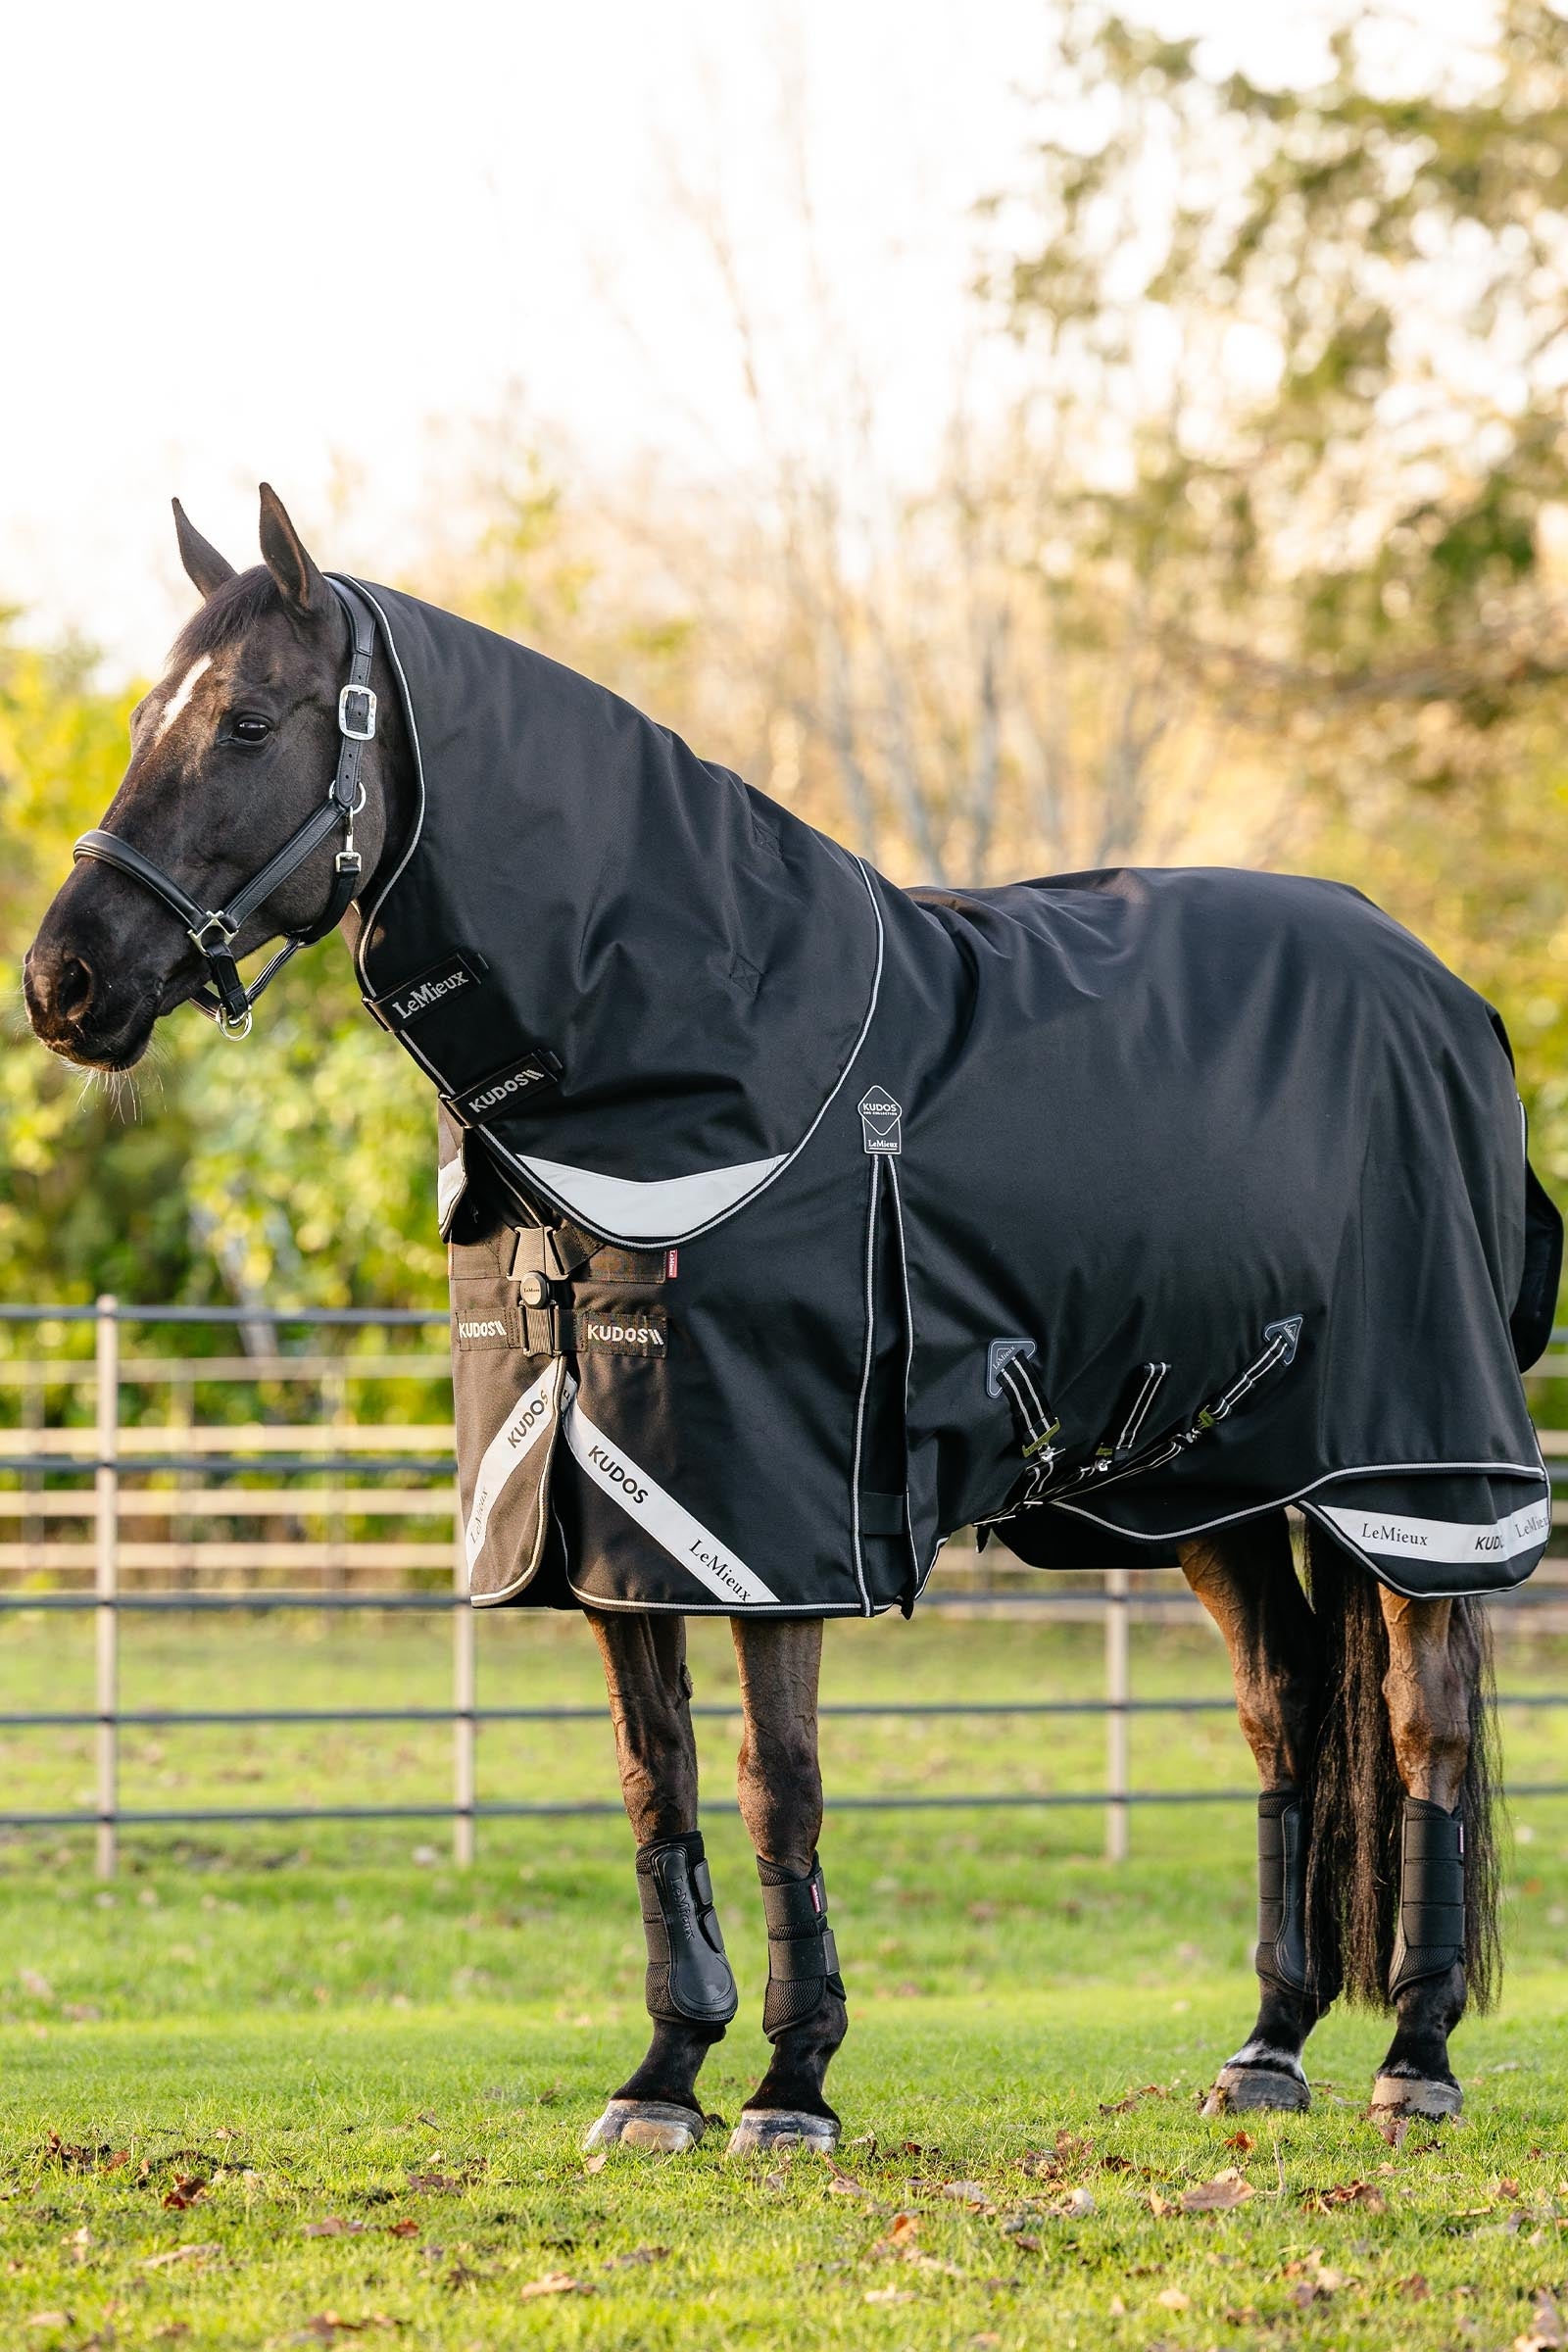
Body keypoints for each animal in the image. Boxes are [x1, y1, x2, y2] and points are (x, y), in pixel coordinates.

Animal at [23, 486, 1559, 2152]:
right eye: (139, 718)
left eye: (245, 723)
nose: (63, 982)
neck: (702, 1053)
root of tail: (1448, 997)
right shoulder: (605, 1512)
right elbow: (658, 1780)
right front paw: (662, 2077)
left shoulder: (771, 1522)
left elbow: (781, 1781)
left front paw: (790, 2083)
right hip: (1204, 1481)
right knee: (1283, 1717)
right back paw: (1268, 2045)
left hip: (1417, 1479)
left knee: (1423, 1725)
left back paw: (1417, 2058)